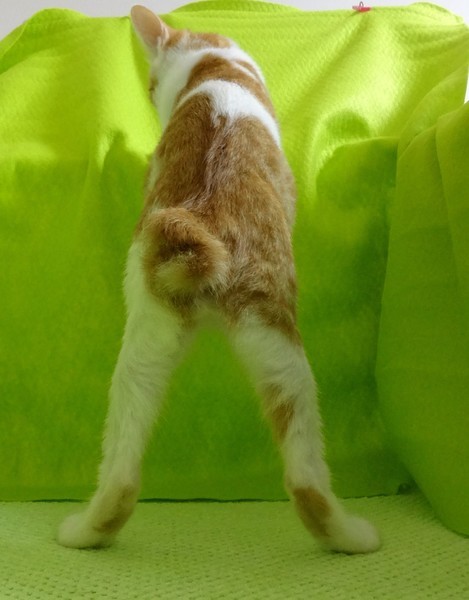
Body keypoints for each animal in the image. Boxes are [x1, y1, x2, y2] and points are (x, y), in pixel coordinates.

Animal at [57, 5, 380, 554]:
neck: (213, 64)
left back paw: (84, 532)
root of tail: (201, 219)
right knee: (306, 478)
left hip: (149, 348)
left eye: (151, 86)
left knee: (121, 474)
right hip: (282, 344)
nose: (150, 93)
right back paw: (353, 537)